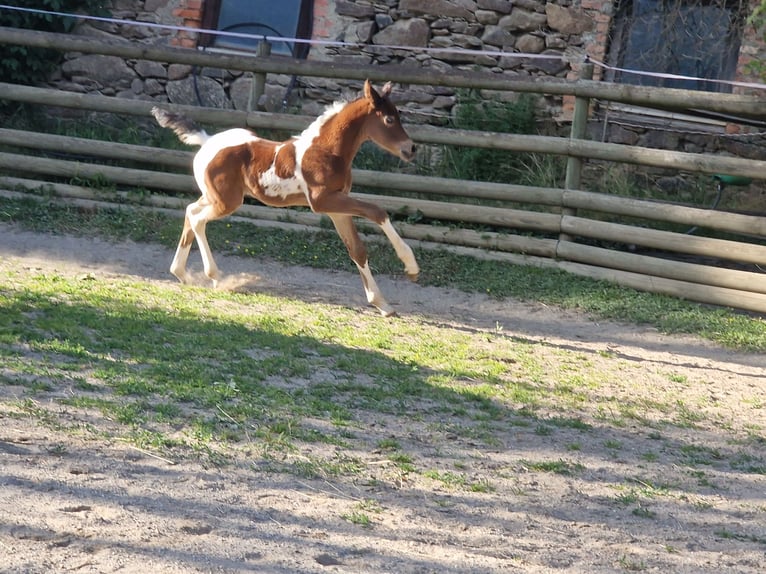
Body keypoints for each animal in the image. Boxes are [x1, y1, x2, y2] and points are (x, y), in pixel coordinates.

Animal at [152, 80, 419, 317]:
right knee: (198, 219)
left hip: (214, 197)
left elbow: (357, 250)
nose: (411, 148)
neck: (326, 151)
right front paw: (411, 265)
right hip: (226, 202)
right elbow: (377, 211)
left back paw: (181, 273)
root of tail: (207, 141)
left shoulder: (336, 207)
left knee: (190, 210)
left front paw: (382, 304)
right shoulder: (322, 201)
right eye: (389, 119)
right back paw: (214, 276)